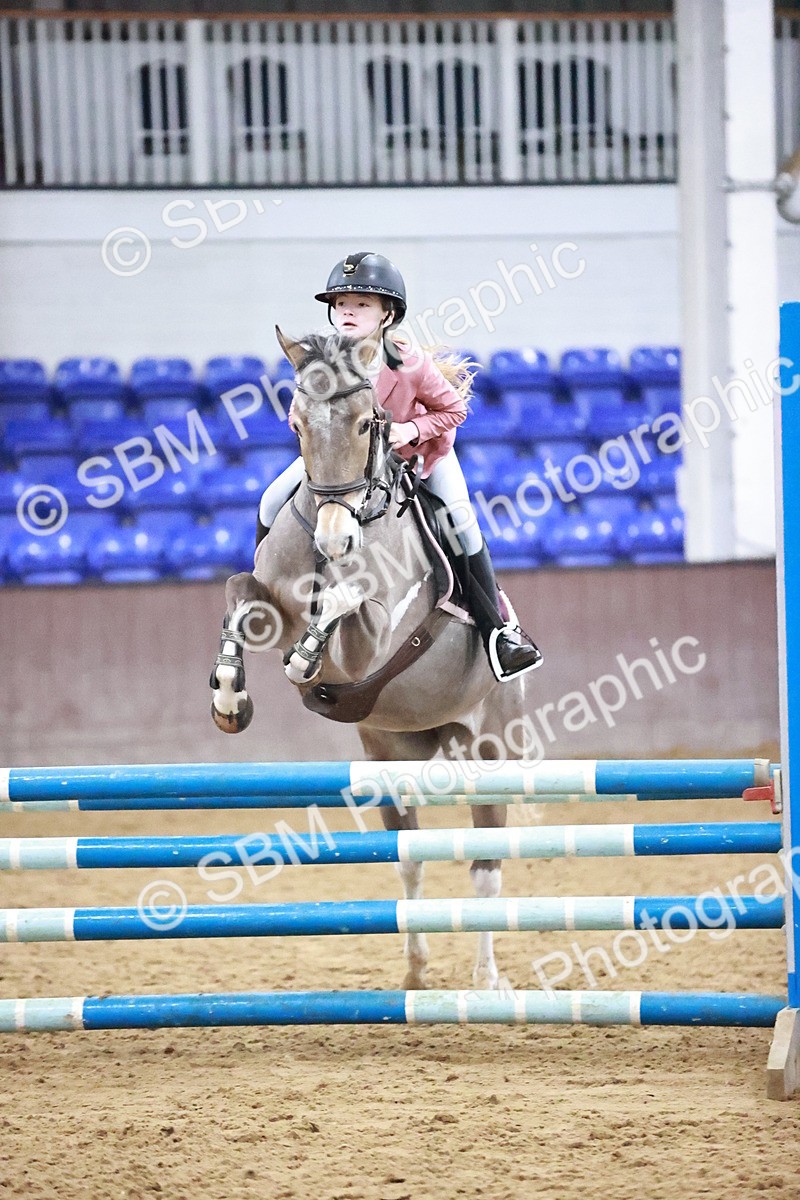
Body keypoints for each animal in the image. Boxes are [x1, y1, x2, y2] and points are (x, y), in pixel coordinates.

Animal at [210, 328, 537, 990]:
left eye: (367, 424)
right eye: (297, 423)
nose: (336, 540)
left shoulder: (374, 636)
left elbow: (346, 600)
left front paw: (305, 662)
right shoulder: (270, 603)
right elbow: (238, 592)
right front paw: (230, 696)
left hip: (490, 751)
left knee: (485, 871)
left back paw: (486, 980)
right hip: (391, 755)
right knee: (410, 861)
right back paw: (414, 974)